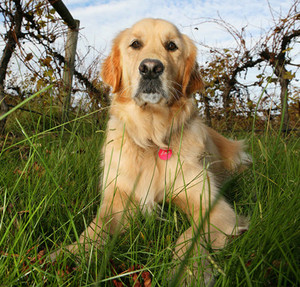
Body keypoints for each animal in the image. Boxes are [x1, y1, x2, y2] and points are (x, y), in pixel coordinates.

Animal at [51, 18, 248, 286]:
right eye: (135, 44)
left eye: (171, 46)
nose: (151, 68)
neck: (152, 138)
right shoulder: (117, 199)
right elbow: (94, 230)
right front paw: (65, 255)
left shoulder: (214, 207)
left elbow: (189, 241)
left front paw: (187, 273)